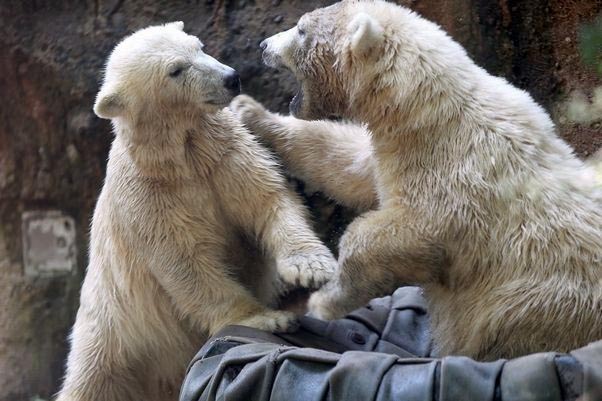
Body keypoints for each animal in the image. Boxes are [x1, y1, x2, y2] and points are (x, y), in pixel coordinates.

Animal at [55, 23, 338, 400]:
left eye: (199, 47)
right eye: (175, 70)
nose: (231, 78)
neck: (177, 160)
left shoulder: (222, 154)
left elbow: (266, 199)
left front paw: (310, 268)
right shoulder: (146, 196)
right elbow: (185, 263)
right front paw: (265, 318)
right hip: (111, 335)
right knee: (90, 382)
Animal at [230, 0, 600, 360]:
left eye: (302, 29)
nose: (263, 45)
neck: (428, 110)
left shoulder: (455, 173)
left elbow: (403, 233)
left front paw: (325, 299)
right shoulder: (398, 150)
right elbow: (348, 164)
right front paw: (250, 112)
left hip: (533, 307)